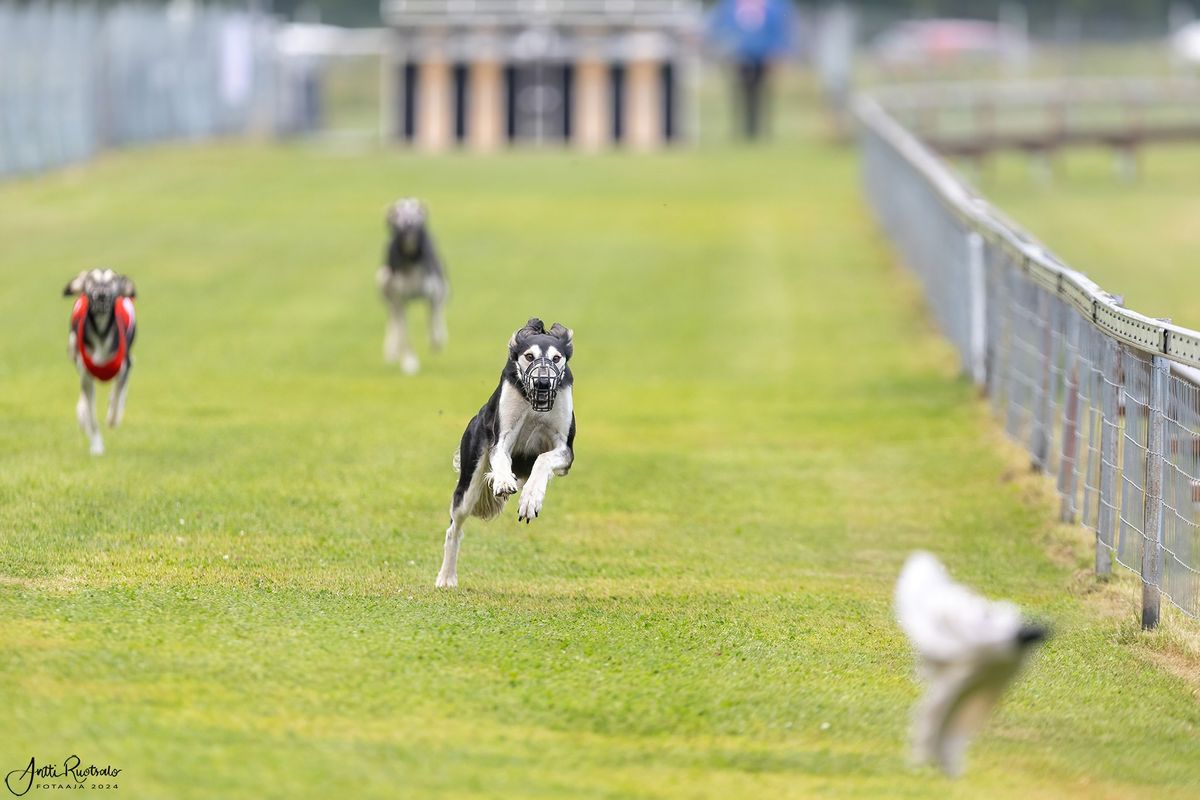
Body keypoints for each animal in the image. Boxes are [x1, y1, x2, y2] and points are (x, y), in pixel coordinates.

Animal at [63, 271, 138, 453]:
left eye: (113, 281)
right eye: (91, 280)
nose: (101, 294)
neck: (101, 334)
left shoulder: (125, 366)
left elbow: (117, 396)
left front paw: (113, 417)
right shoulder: (86, 376)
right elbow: (91, 416)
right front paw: (96, 445)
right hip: (73, 348)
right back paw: (82, 413)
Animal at [372, 200, 448, 376]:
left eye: (417, 212)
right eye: (397, 214)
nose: (409, 224)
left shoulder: (433, 294)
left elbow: (433, 319)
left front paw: (436, 339)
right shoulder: (400, 302)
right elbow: (404, 335)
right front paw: (409, 362)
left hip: (444, 287)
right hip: (383, 283)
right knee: (393, 320)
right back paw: (392, 350)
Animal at [436, 319, 576, 587]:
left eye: (556, 358)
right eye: (529, 356)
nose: (543, 384)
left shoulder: (565, 451)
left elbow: (543, 459)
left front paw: (530, 500)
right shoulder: (502, 438)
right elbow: (501, 454)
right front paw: (502, 481)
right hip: (468, 486)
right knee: (453, 529)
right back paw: (446, 577)